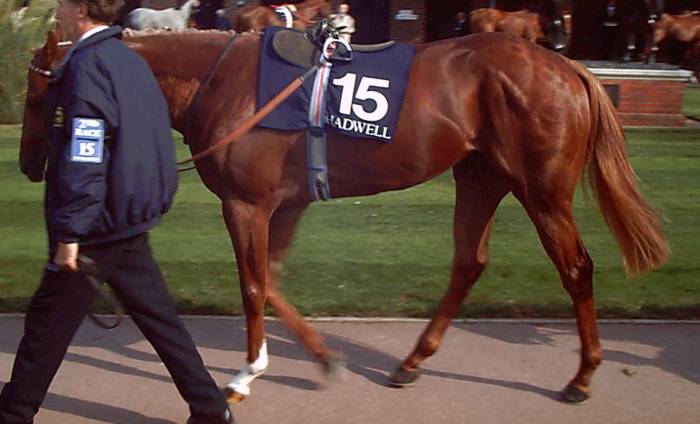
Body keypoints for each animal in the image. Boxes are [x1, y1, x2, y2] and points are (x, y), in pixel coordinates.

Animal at [21, 27, 670, 406]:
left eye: (39, 96)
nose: (28, 165)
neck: (225, 81)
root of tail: (571, 69)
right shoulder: (284, 204)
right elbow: (271, 281)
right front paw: (322, 358)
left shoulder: (246, 203)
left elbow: (253, 285)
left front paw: (245, 374)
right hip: (480, 176)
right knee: (469, 262)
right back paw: (411, 362)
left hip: (540, 189)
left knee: (576, 268)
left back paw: (582, 377)